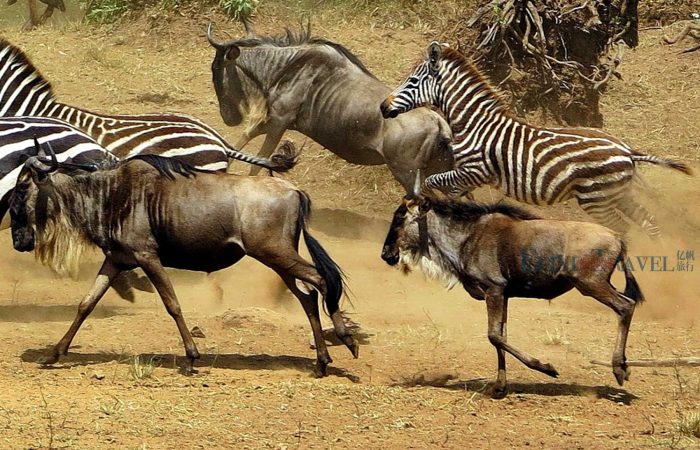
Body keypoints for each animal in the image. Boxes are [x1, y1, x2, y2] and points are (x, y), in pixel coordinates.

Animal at [382, 44, 696, 237]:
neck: (474, 122)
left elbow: (430, 183)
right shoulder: (466, 177)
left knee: (624, 229)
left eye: (412, 82)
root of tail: (627, 151)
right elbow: (451, 195)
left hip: (596, 199)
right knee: (649, 224)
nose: (383, 108)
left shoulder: (473, 171)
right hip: (619, 194)